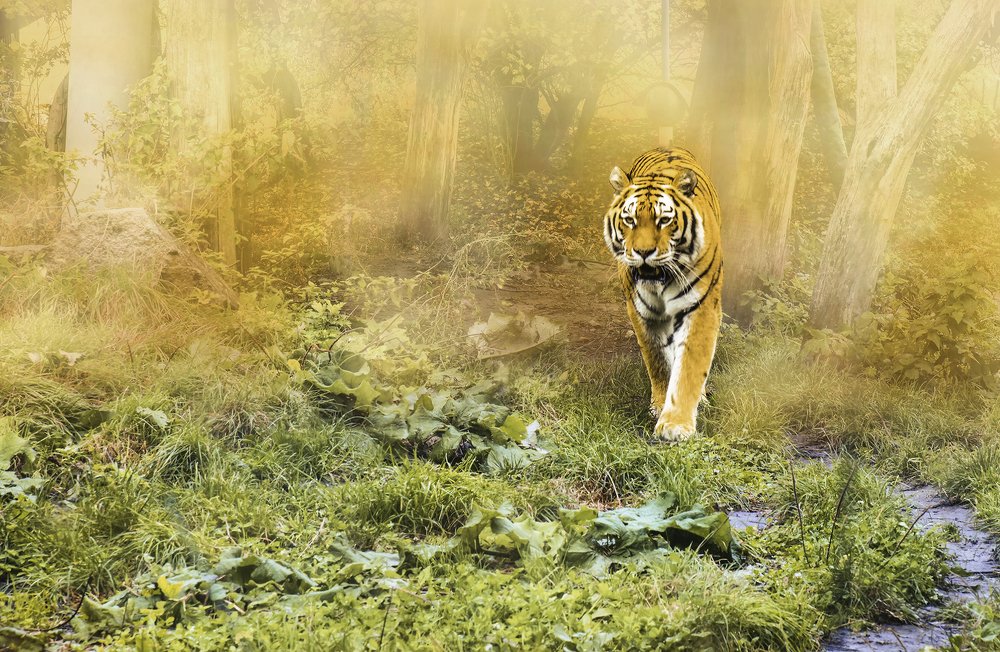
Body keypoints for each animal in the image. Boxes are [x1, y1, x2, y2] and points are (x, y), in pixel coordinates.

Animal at [602, 147, 723, 442]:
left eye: (664, 220)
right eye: (630, 220)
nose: (644, 252)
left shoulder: (701, 308)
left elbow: (690, 365)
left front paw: (676, 425)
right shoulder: (642, 312)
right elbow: (657, 359)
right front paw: (659, 405)